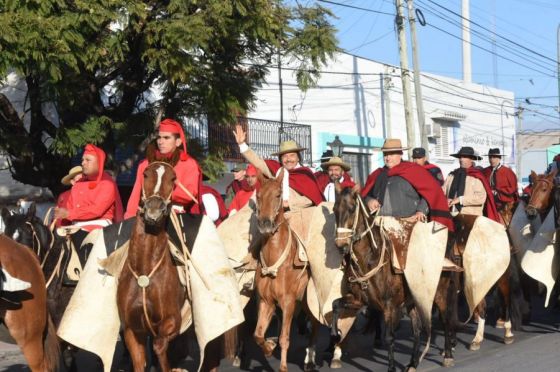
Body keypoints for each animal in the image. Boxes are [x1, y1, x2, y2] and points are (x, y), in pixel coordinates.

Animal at [330, 185, 458, 370]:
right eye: (334, 209)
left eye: (352, 208)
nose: (341, 246)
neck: (370, 258)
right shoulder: (359, 300)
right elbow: (335, 305)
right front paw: (336, 335)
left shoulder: (389, 306)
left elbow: (390, 337)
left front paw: (391, 367)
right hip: (412, 300)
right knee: (417, 330)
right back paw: (412, 363)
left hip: (439, 293)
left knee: (445, 319)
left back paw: (447, 355)